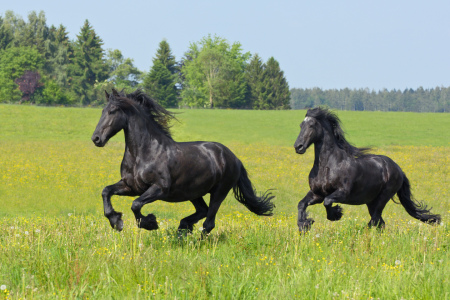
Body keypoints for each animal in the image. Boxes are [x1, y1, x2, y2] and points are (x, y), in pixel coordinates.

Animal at [91, 90, 274, 236]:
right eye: (102, 111)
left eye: (112, 111)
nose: (96, 139)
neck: (144, 153)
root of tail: (234, 158)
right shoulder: (131, 187)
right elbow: (106, 191)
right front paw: (116, 221)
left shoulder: (159, 189)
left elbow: (135, 205)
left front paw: (150, 223)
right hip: (193, 192)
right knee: (202, 211)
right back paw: (182, 229)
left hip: (219, 192)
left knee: (209, 222)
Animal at [294, 108, 442, 232]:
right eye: (301, 125)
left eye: (312, 125)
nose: (298, 146)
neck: (328, 166)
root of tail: (399, 170)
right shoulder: (317, 193)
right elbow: (301, 204)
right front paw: (304, 224)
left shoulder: (343, 193)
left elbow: (328, 201)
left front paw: (335, 214)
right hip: (371, 201)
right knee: (379, 222)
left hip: (382, 198)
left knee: (375, 220)